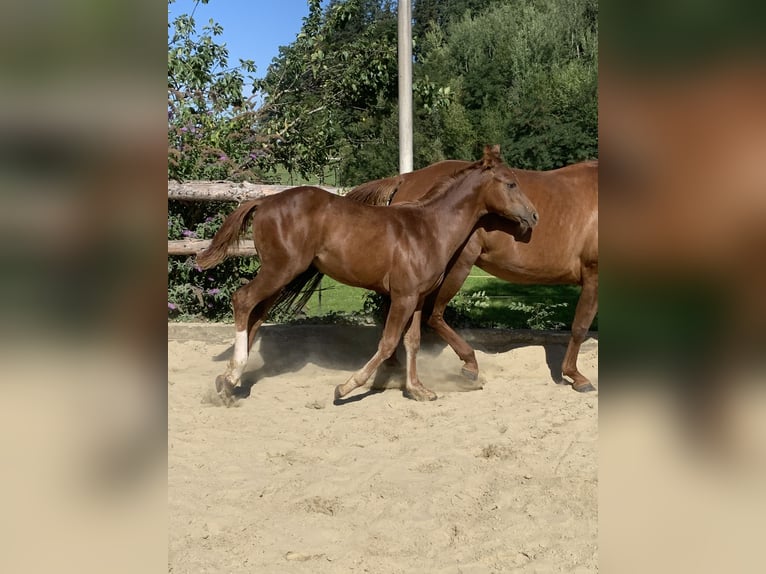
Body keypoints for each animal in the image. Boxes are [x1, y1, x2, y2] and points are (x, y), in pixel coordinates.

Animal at [196, 146, 540, 408]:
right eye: (510, 183)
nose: (534, 215)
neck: (428, 228)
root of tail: (264, 200)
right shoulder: (402, 296)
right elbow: (387, 343)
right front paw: (346, 387)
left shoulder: (417, 298)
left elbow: (412, 341)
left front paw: (418, 390)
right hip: (279, 270)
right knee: (242, 300)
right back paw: (231, 378)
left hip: (279, 275)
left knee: (255, 315)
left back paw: (228, 381)